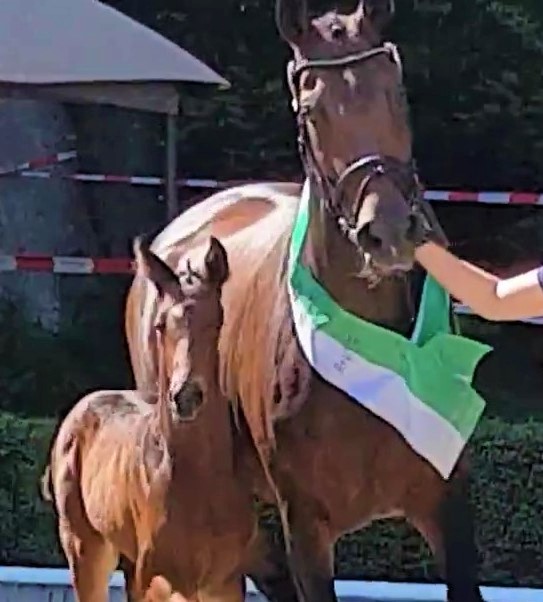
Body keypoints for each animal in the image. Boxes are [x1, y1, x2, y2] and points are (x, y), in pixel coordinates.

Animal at [40, 236, 258, 600]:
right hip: (86, 545)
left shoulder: (223, 580)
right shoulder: (159, 575)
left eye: (217, 322)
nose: (186, 396)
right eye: (160, 325)